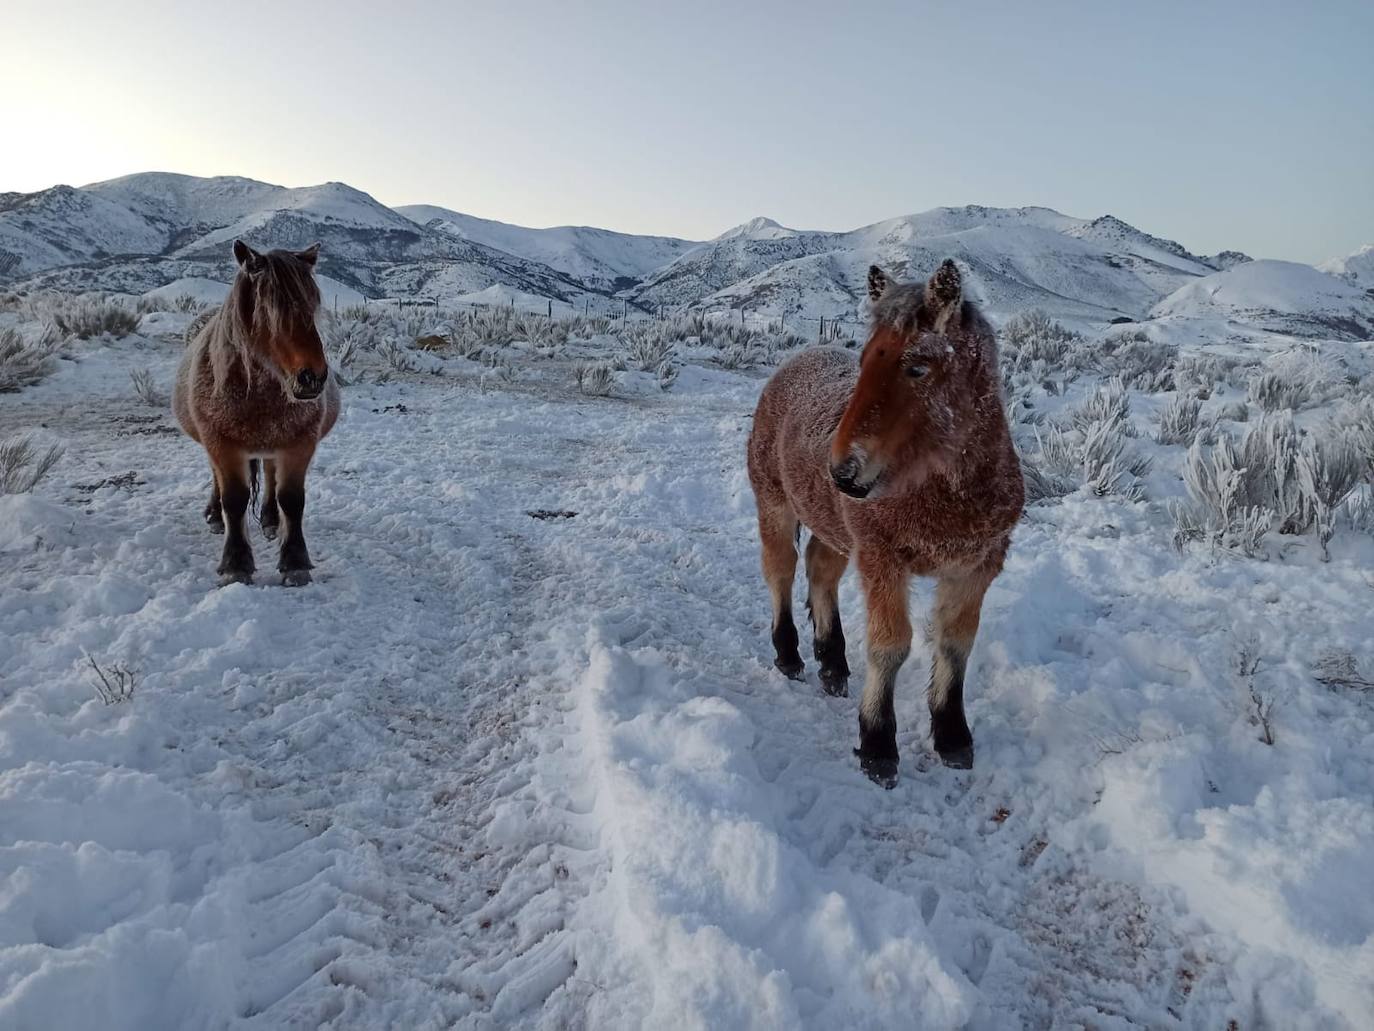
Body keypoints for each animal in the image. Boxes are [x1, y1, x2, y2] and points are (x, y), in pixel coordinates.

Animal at [173, 237, 342, 585]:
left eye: (312, 305)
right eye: (269, 309)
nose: (312, 377)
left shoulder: (299, 444)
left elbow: (291, 498)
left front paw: (295, 562)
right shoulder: (221, 445)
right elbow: (234, 500)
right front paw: (236, 565)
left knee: (270, 472)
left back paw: (270, 519)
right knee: (218, 480)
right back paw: (215, 516)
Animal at [752, 262, 1022, 786]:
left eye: (916, 367)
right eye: (863, 362)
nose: (842, 472)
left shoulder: (976, 568)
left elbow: (956, 644)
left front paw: (952, 736)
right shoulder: (883, 560)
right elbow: (890, 646)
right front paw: (877, 744)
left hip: (835, 532)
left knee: (819, 572)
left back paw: (833, 663)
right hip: (774, 506)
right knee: (780, 572)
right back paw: (790, 655)